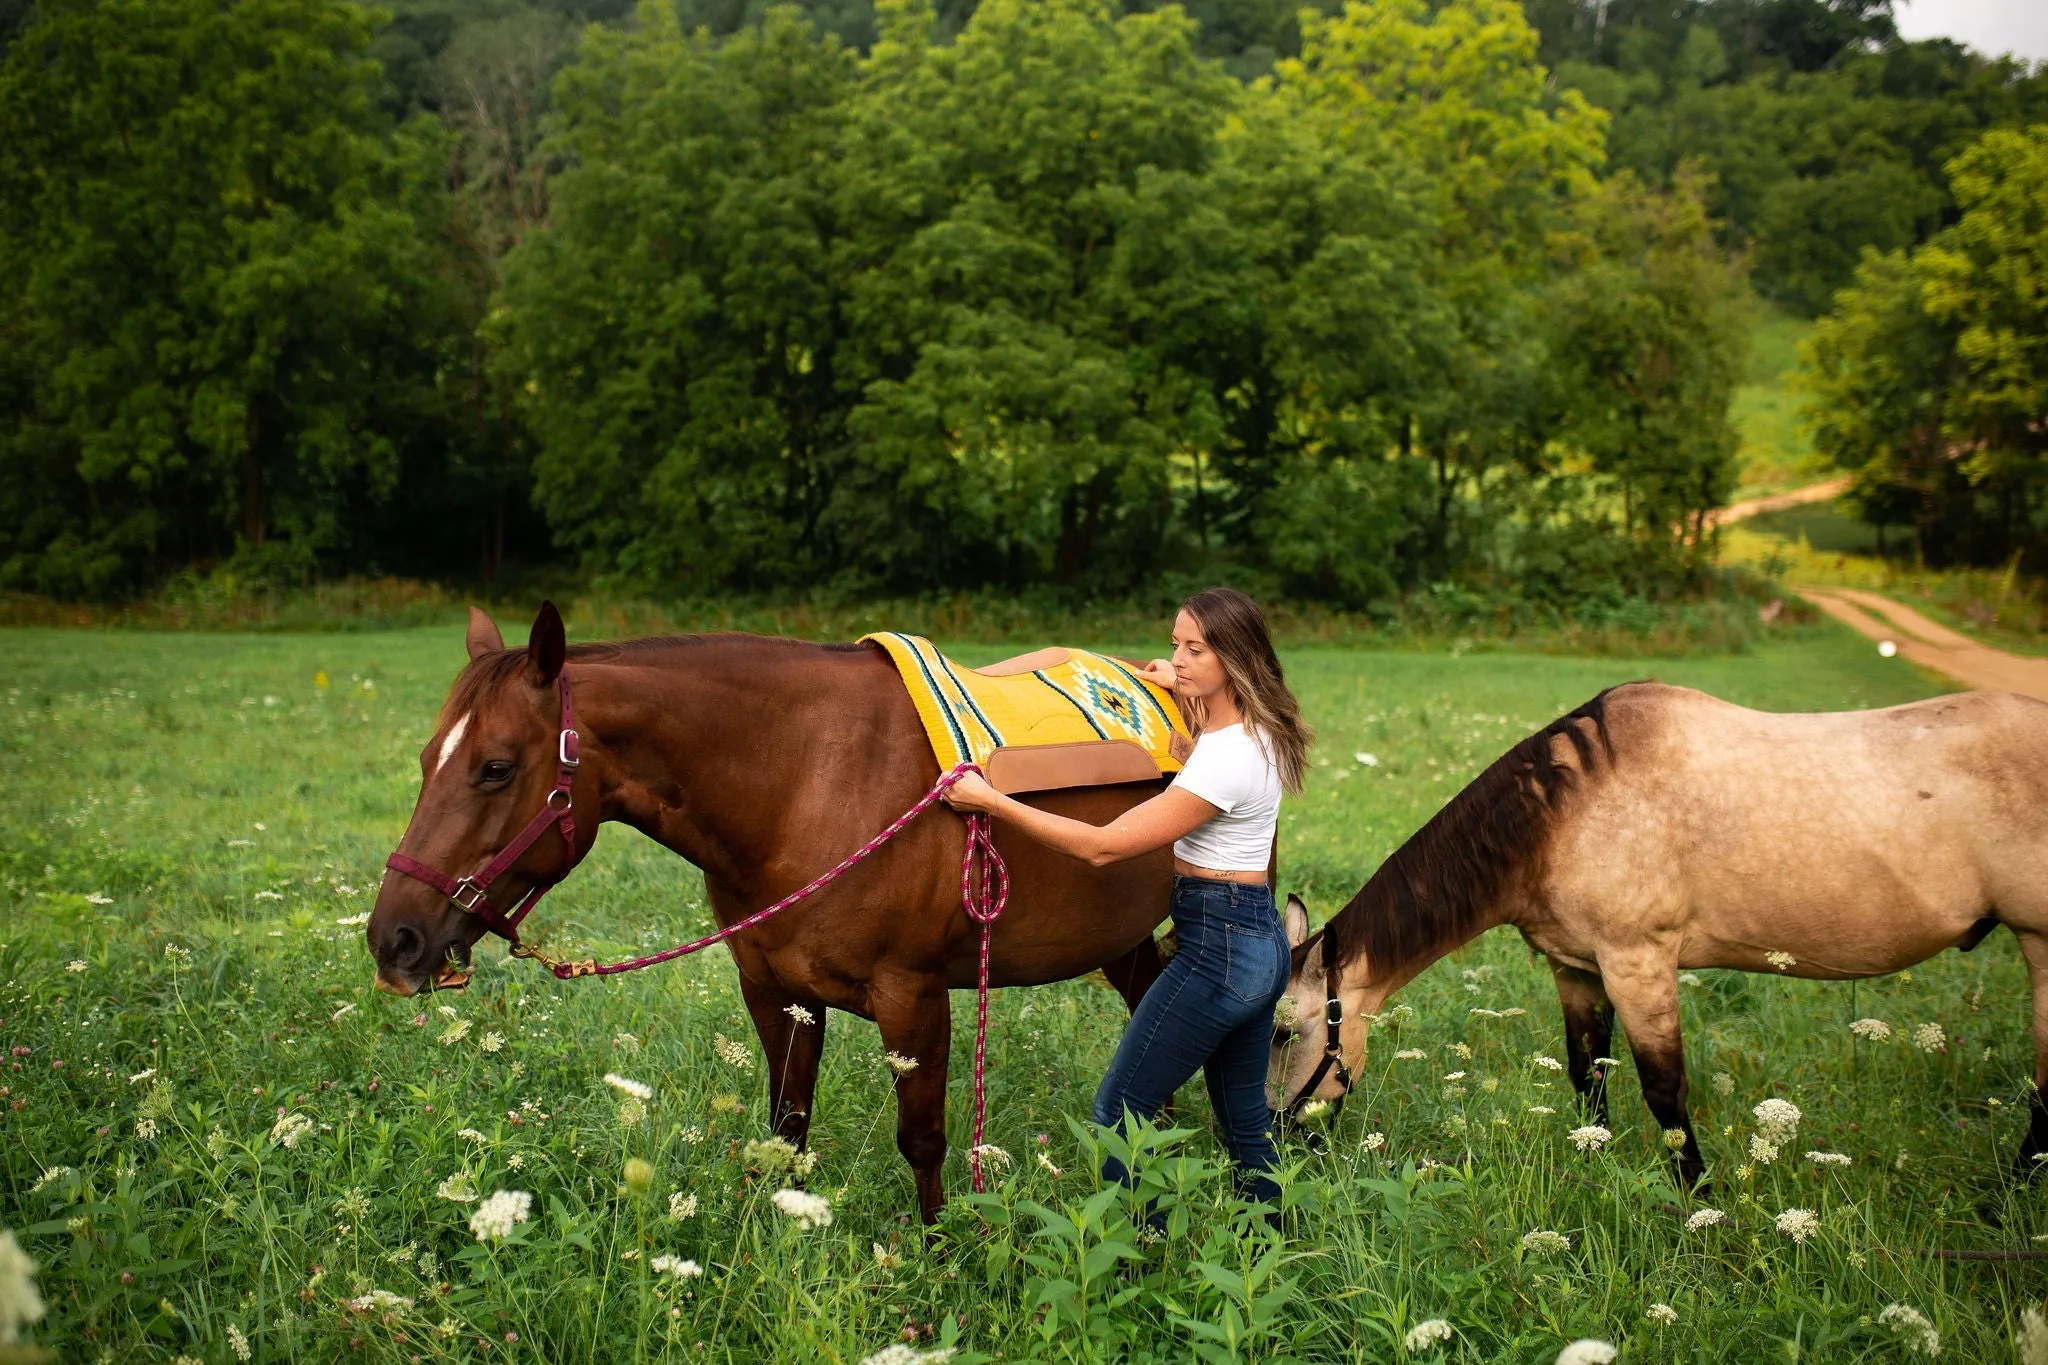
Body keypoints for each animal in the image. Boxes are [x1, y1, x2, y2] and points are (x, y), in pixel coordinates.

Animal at [364, 601, 1187, 1219]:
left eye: (496, 768)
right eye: (426, 759)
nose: (393, 940)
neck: (807, 783)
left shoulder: (914, 998)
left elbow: (922, 1137)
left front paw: (939, 1251)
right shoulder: (773, 990)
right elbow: (787, 1123)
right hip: (1121, 938)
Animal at [1269, 683, 2048, 1186]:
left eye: (1280, 1032)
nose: (1278, 1143)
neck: (1563, 812)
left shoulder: (1637, 963)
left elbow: (1666, 1091)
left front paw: (1698, 1200)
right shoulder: (1577, 969)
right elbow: (1588, 1074)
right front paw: (1593, 1163)